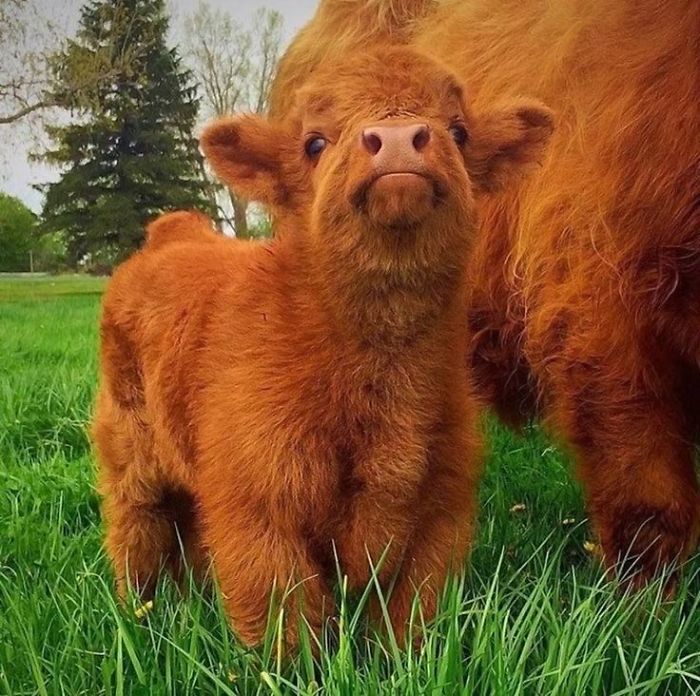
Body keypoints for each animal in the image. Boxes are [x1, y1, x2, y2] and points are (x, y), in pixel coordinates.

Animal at [92, 45, 553, 649]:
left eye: (460, 131)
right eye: (314, 142)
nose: (398, 138)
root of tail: (174, 233)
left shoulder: (440, 515)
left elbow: (408, 620)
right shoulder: (258, 510)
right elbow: (288, 627)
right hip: (130, 451)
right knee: (137, 529)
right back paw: (138, 613)